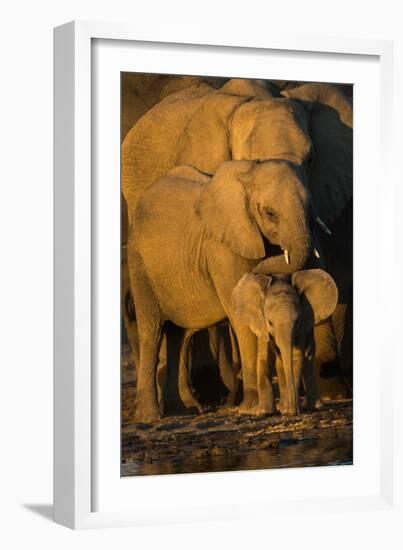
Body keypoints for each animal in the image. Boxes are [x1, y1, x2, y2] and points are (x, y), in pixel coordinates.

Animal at [232, 270, 340, 416]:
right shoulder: (261, 322)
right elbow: (265, 355)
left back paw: (313, 407)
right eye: (270, 323)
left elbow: (296, 355)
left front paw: (290, 410)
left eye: (297, 321)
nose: (294, 412)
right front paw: (264, 412)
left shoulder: (302, 325)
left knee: (308, 357)